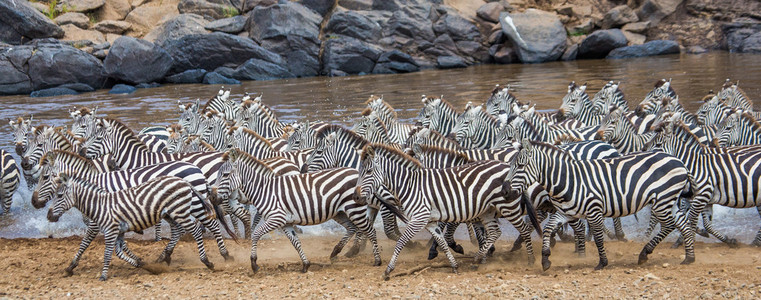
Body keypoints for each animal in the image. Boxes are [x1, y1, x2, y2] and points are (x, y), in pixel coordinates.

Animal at [46, 173, 226, 282]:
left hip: (180, 211)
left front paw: (103, 275)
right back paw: (165, 257)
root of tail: (183, 181)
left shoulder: (110, 230)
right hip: (172, 214)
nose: (48, 216)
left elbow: (106, 253)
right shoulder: (118, 231)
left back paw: (208, 261)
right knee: (179, 231)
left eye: (59, 195)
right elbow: (119, 253)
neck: (101, 206)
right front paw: (144, 265)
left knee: (196, 230)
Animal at [211, 149, 380, 274]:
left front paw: (254, 263)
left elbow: (256, 234)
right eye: (218, 174)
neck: (264, 190)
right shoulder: (285, 223)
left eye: (225, 175)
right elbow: (295, 242)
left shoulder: (277, 218)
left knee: (370, 231)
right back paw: (335, 252)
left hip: (354, 209)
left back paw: (377, 261)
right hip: (339, 212)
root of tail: (355, 172)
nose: (212, 196)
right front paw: (305, 264)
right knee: (351, 228)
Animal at [358, 144, 544, 280]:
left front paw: (389, 269)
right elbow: (442, 242)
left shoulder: (419, 218)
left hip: (508, 206)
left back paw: (531, 260)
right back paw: (478, 260)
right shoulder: (430, 221)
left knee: (524, 229)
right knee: (495, 232)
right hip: (487, 210)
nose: (357, 195)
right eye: (360, 172)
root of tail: (508, 167)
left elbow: (401, 242)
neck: (410, 185)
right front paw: (454, 265)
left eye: (368, 172)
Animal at [504, 139, 696, 270]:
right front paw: (545, 259)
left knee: (669, 225)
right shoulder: (566, 212)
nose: (505, 191)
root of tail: (680, 162)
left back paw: (644, 253)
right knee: (683, 224)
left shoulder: (594, 210)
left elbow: (597, 237)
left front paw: (602, 263)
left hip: (662, 200)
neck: (569, 180)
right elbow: (547, 229)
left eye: (520, 166)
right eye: (512, 165)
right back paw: (689, 258)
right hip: (670, 201)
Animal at [644, 117, 760, 246]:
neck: (695, 164)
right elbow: (705, 224)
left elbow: (689, 219)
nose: (648, 158)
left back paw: (756, 242)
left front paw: (686, 240)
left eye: (658, 144)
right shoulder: (701, 198)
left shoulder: (700, 197)